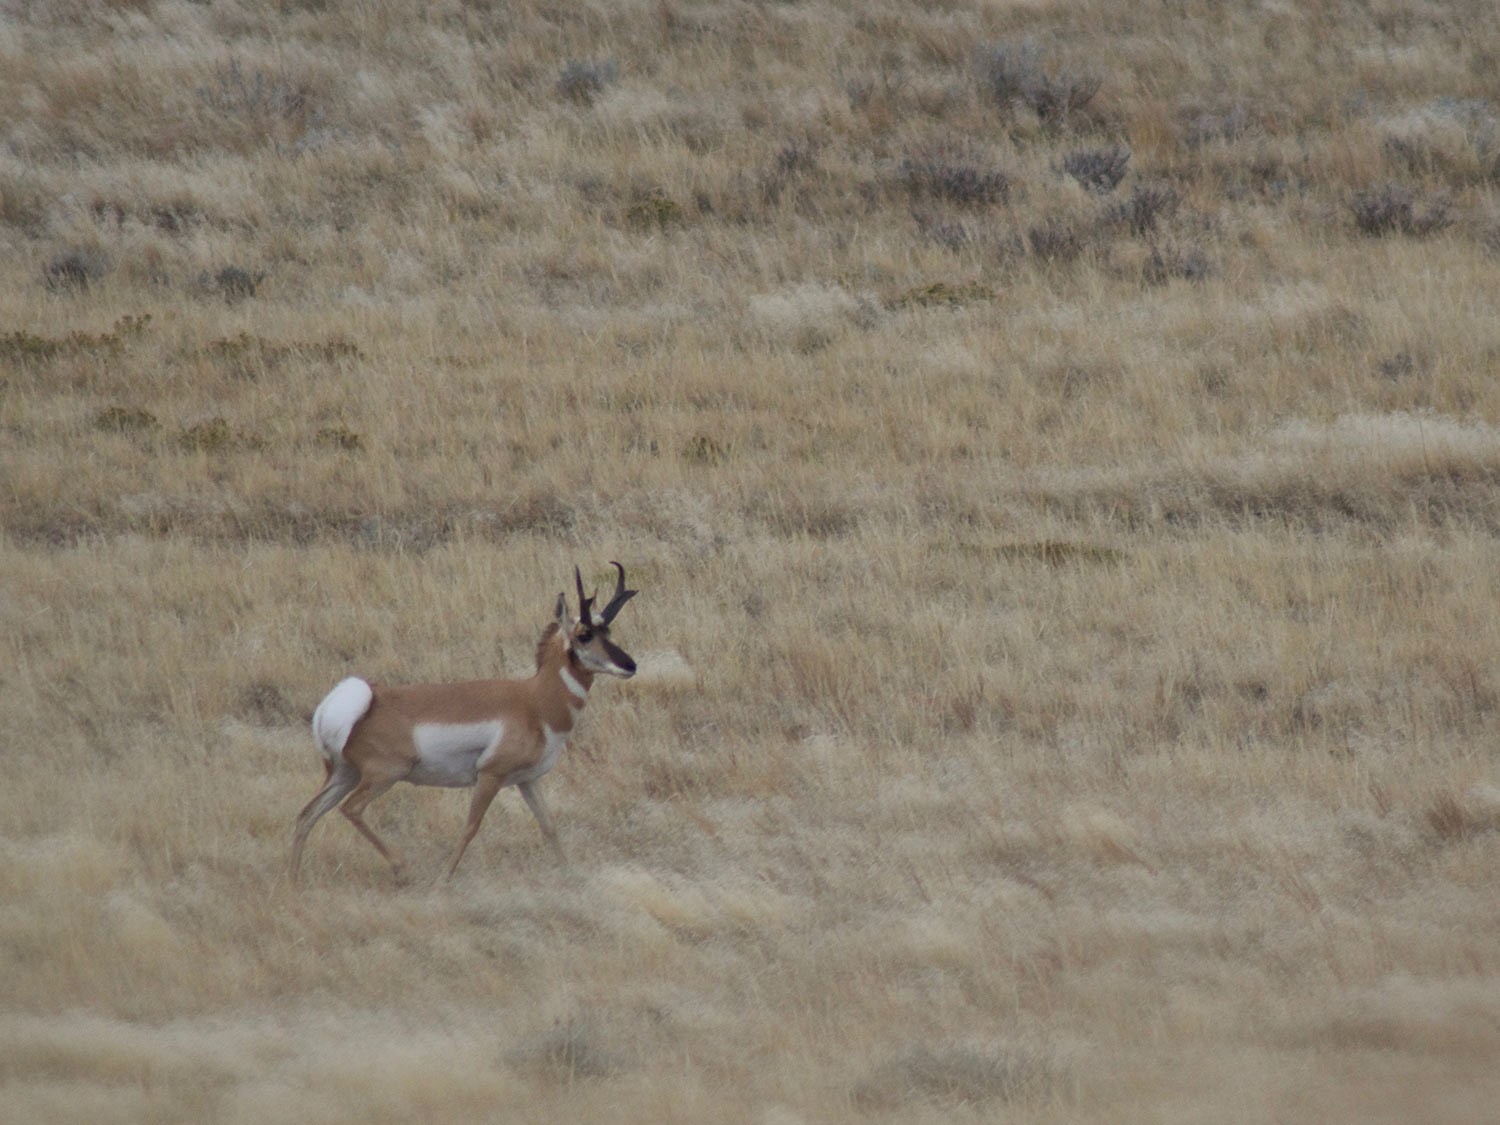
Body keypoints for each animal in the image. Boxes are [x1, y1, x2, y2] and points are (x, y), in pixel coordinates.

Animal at [289, 564, 636, 882]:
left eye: (608, 632)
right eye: (584, 635)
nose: (630, 665)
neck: (534, 702)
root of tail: (358, 702)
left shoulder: (527, 780)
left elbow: (548, 826)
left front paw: (570, 876)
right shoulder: (490, 776)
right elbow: (471, 826)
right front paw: (444, 879)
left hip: (345, 775)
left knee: (307, 814)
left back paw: (294, 881)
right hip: (385, 774)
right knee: (350, 809)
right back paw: (401, 867)